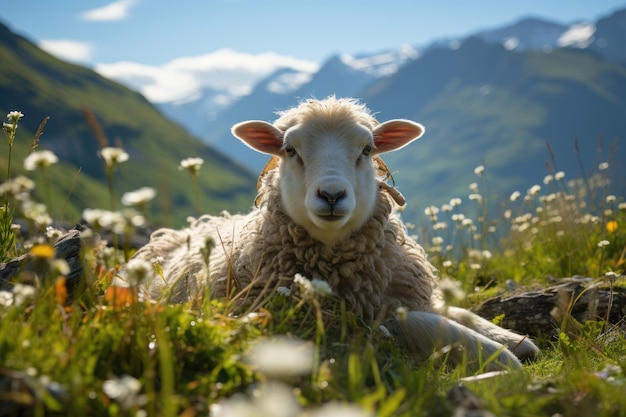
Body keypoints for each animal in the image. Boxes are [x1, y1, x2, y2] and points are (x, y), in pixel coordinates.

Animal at [127, 96, 536, 368]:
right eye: (290, 149)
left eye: (367, 149)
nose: (332, 195)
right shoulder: (350, 326)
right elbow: (423, 323)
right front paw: (502, 356)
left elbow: (454, 310)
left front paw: (512, 339)